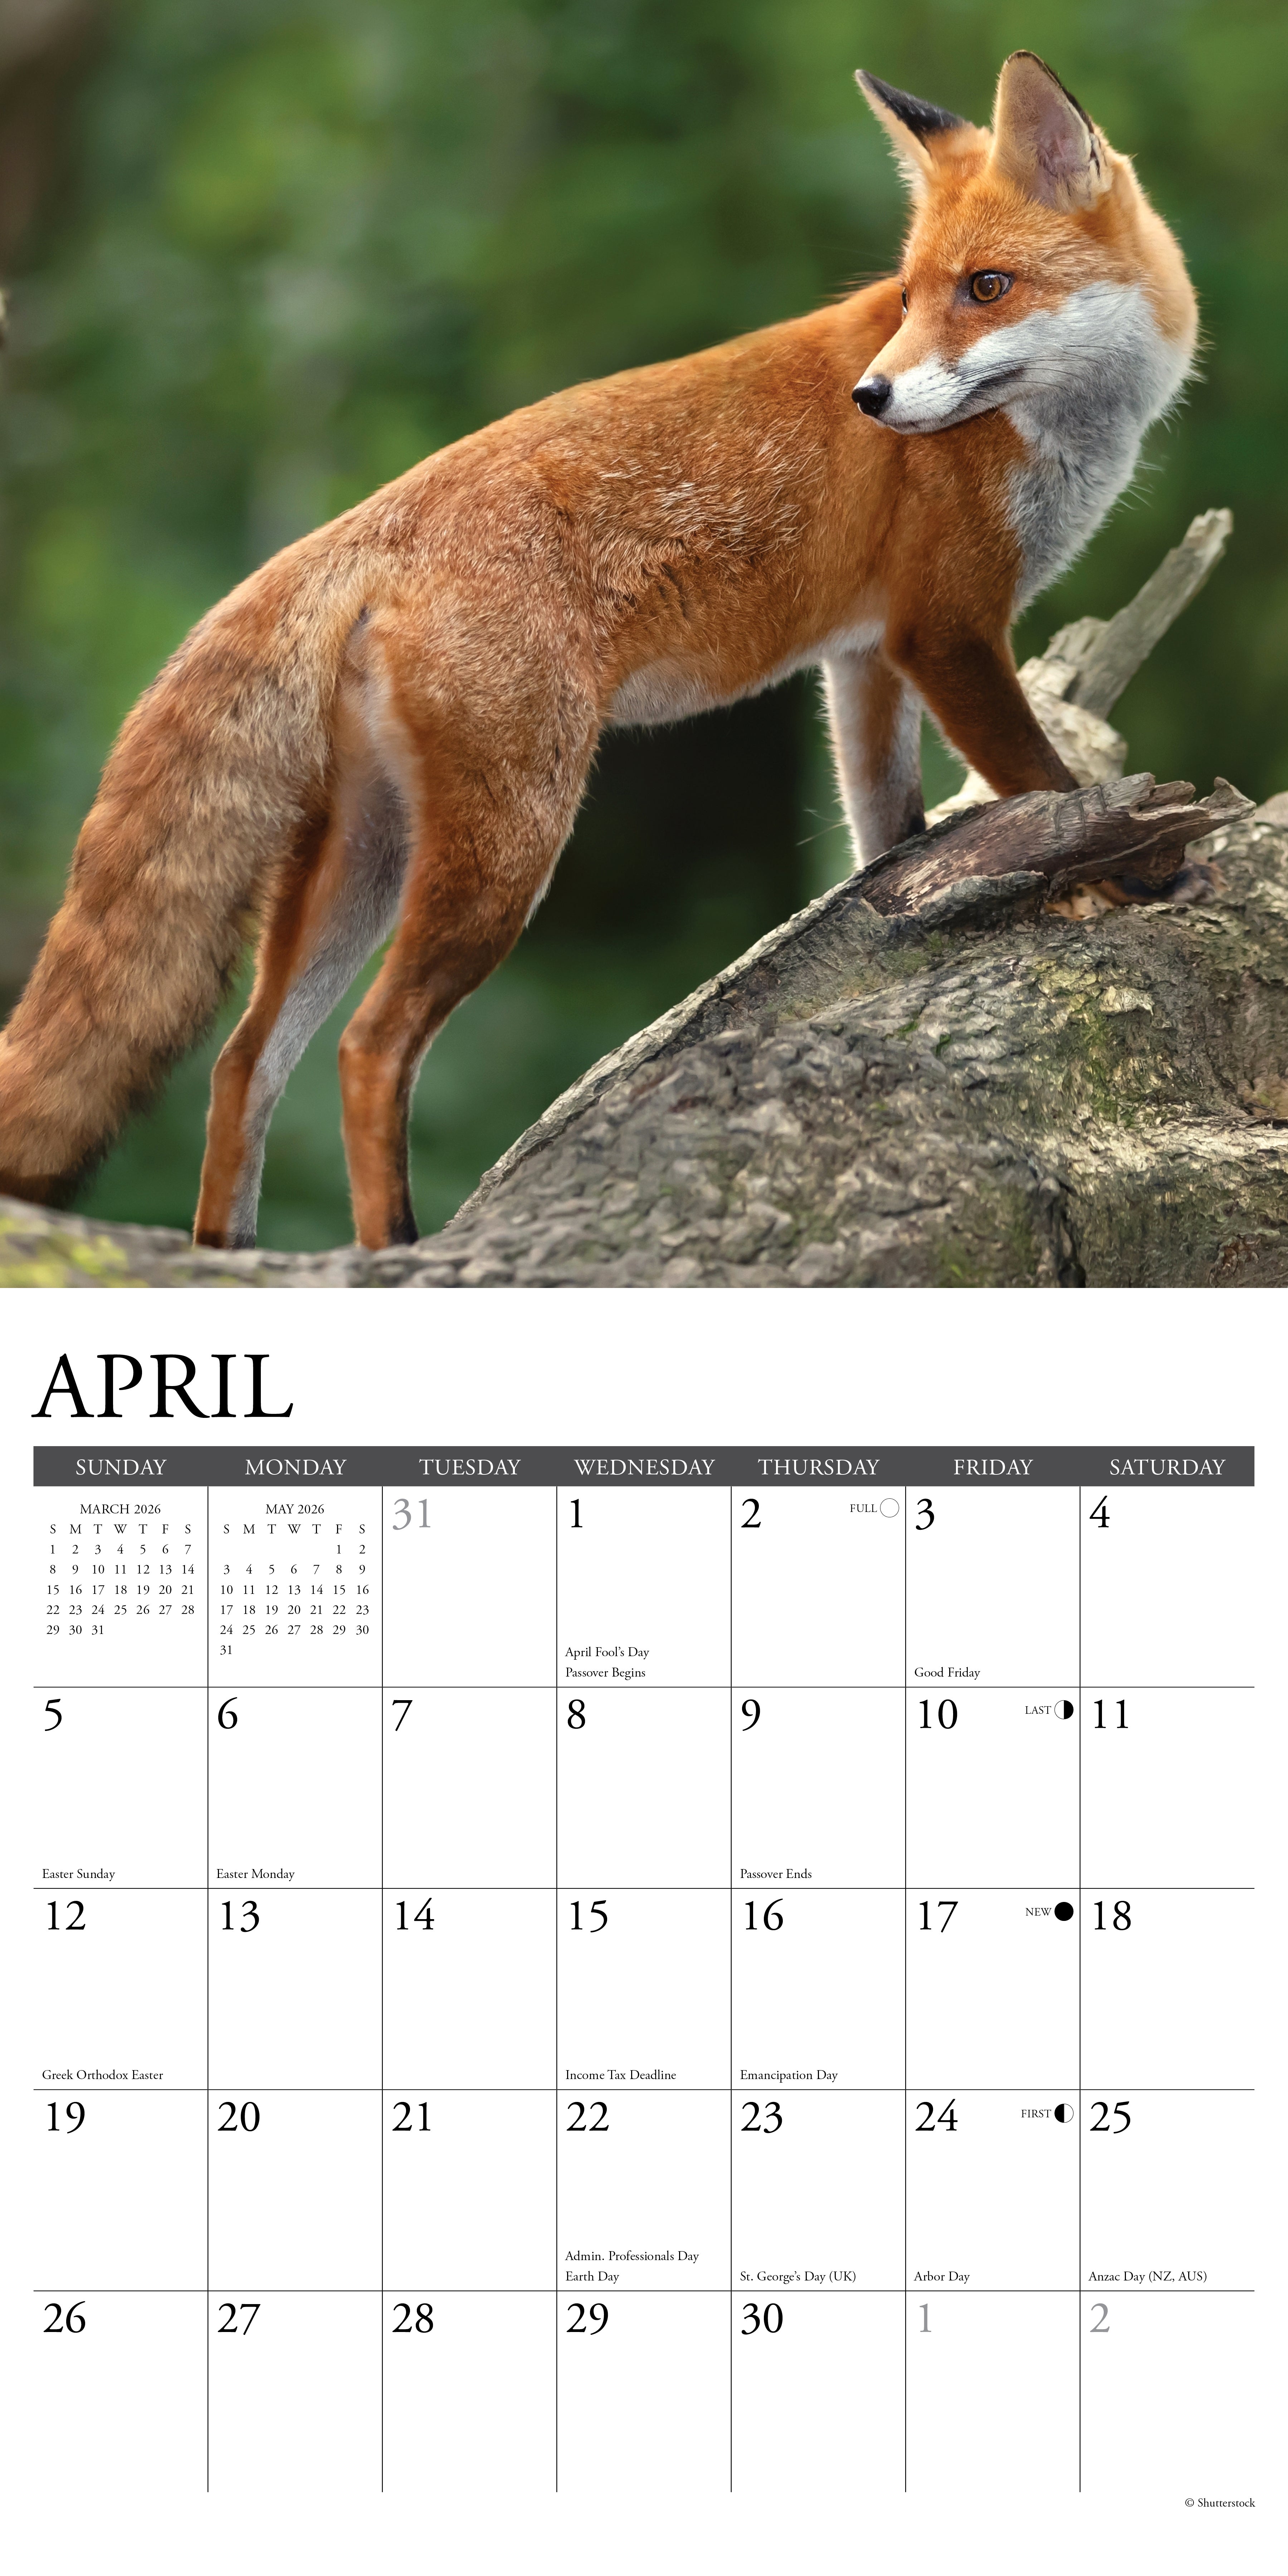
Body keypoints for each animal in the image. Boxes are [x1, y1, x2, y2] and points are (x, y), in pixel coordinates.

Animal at [0, 51, 1197, 1253]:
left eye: (986, 287)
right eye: (908, 298)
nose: (872, 396)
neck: (1062, 433)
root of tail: (371, 522)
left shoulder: (867, 658)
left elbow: (887, 839)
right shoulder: (944, 632)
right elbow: (1042, 780)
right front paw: (1117, 875)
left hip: (367, 860)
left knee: (245, 1063)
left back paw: (230, 1254)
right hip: (508, 851)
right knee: (369, 1047)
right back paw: (395, 1248)